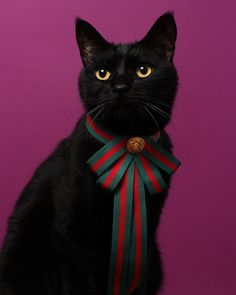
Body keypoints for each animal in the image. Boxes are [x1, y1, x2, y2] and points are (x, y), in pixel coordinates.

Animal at [0, 11, 178, 295]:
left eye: (143, 71)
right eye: (102, 73)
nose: (120, 86)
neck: (127, 142)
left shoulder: (146, 232)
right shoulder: (72, 233)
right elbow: (79, 281)